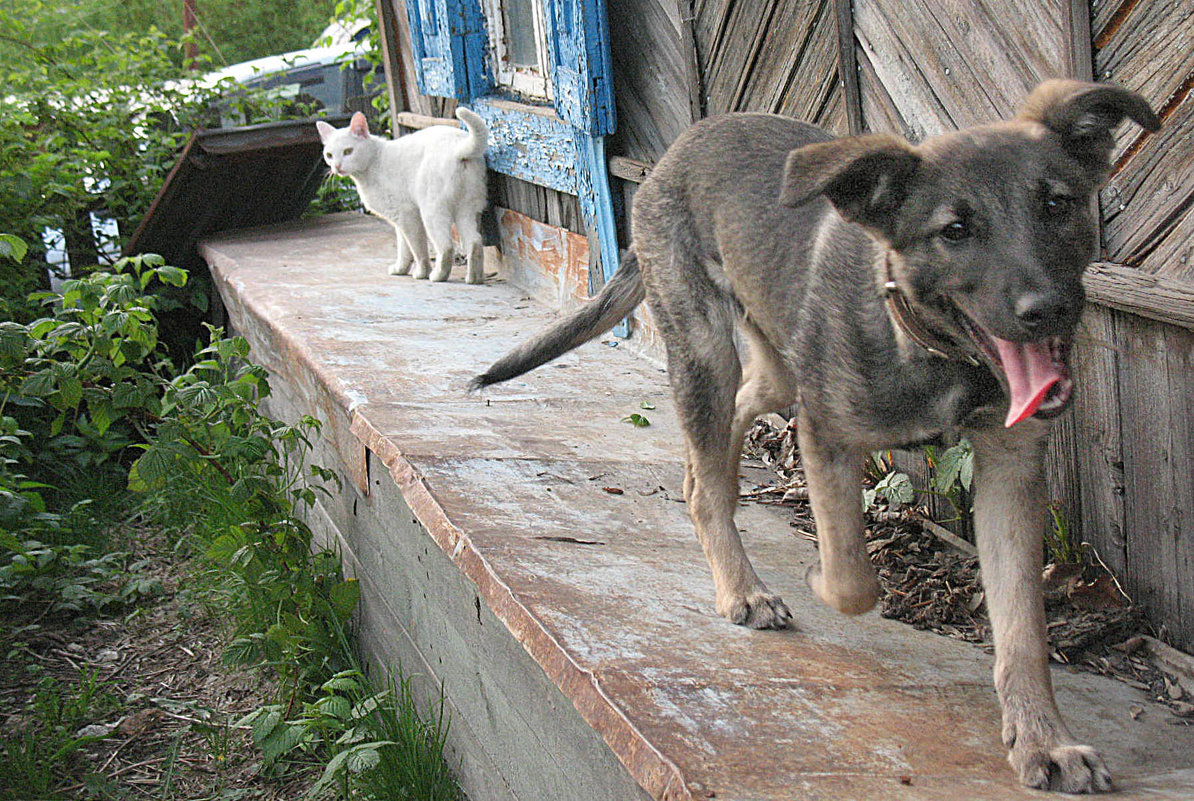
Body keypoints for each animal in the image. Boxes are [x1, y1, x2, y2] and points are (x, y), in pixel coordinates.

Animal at [317, 108, 489, 285]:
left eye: (348, 151)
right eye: (329, 155)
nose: (337, 166)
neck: (373, 162)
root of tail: (458, 146)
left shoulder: (407, 216)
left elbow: (418, 250)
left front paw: (421, 272)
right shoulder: (400, 219)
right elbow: (404, 249)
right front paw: (400, 269)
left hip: (432, 212)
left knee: (446, 246)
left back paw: (438, 276)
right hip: (466, 209)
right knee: (475, 242)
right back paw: (474, 279)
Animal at [472, 78, 1155, 792]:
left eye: (1057, 204)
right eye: (955, 230)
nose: (1046, 309)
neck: (923, 338)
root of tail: (675, 153)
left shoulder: (1010, 469)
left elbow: (1023, 629)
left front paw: (1045, 741)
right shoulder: (828, 435)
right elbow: (852, 577)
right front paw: (820, 580)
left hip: (771, 362)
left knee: (731, 426)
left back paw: (712, 486)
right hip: (705, 346)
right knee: (711, 477)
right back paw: (741, 588)